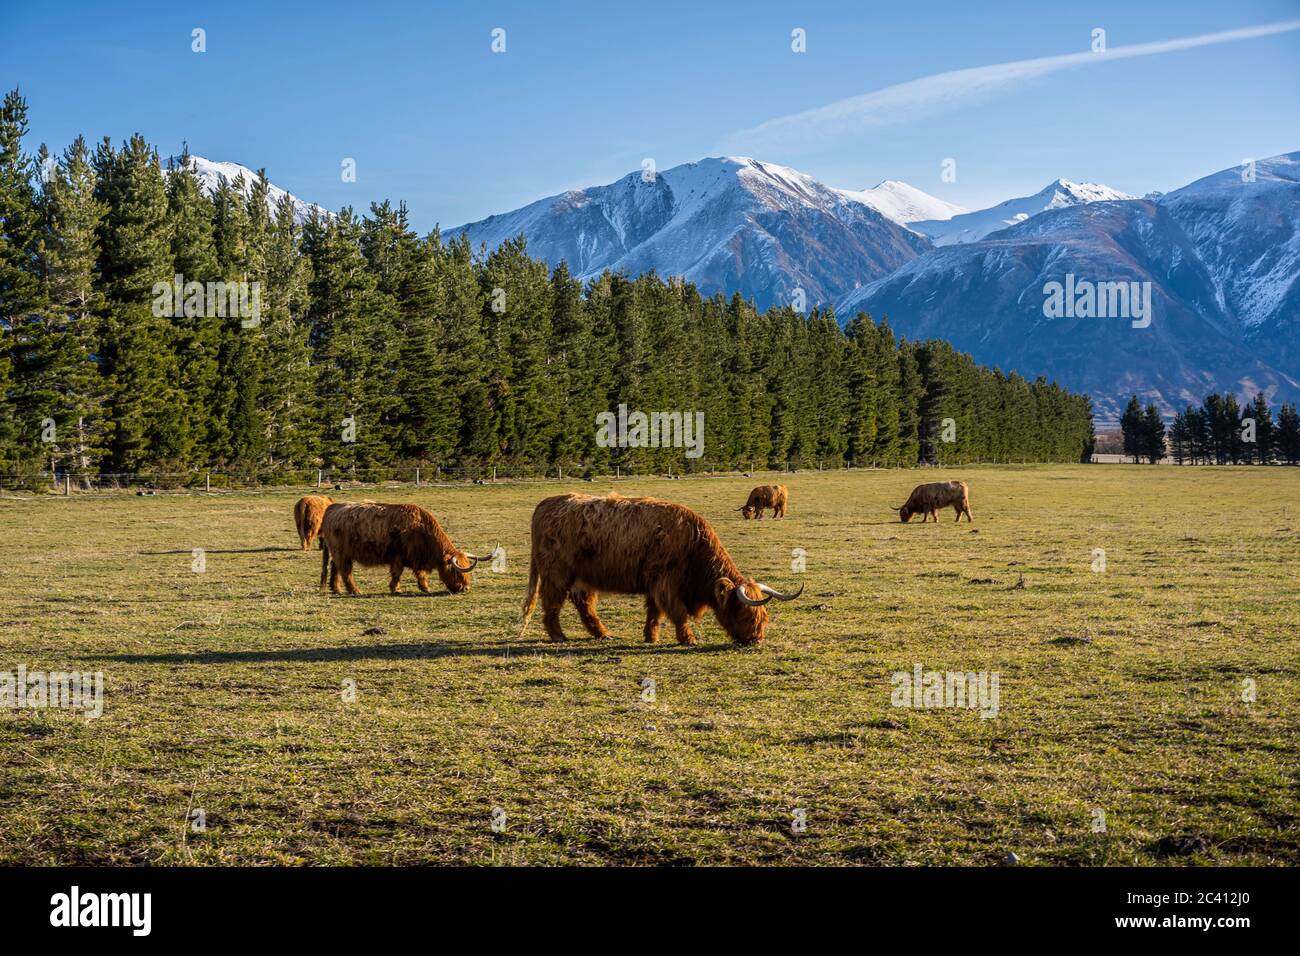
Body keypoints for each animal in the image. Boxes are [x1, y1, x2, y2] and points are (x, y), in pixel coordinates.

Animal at [318, 501, 489, 595]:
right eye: (456, 572)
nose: (465, 588)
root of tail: (332, 508)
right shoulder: (399, 556)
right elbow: (397, 574)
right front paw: (396, 589)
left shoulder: (416, 558)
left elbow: (420, 574)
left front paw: (425, 587)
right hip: (341, 553)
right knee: (345, 571)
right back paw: (355, 591)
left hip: (339, 553)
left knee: (335, 567)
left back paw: (336, 589)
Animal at [519, 493, 802, 647]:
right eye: (744, 613)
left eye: (763, 617)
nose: (757, 639)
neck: (693, 543)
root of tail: (546, 503)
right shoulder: (666, 583)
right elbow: (676, 612)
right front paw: (688, 639)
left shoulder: (654, 582)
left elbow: (654, 612)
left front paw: (651, 636)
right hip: (556, 574)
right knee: (551, 603)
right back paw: (558, 636)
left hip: (582, 577)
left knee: (584, 605)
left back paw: (603, 634)